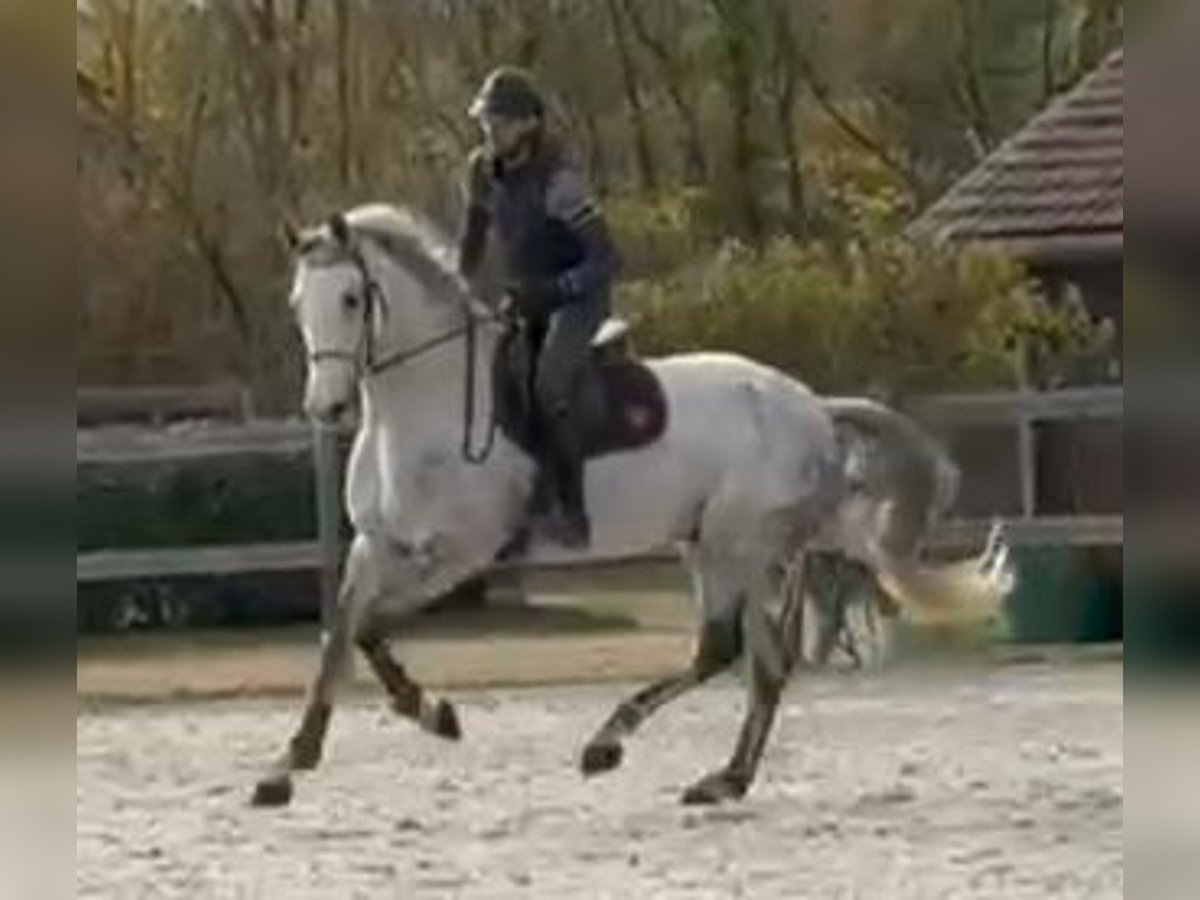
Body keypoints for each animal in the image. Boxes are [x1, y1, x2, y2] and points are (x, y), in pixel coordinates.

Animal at [250, 203, 1013, 808]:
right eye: (296, 303)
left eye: (352, 299)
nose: (327, 408)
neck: (420, 411)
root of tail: (810, 407)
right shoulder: (373, 546)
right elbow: (341, 632)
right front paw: (288, 765)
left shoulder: (460, 554)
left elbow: (370, 628)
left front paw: (434, 713)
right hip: (729, 547)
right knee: (764, 662)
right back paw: (724, 779)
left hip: (732, 545)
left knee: (720, 649)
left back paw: (610, 744)